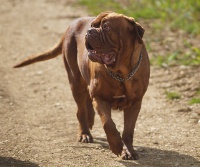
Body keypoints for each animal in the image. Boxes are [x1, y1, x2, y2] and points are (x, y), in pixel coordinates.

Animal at [14, 11, 150, 160]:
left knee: (87, 101)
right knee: (81, 110)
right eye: (93, 25)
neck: (121, 73)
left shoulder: (135, 103)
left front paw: (128, 150)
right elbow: (108, 123)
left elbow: (128, 131)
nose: (89, 31)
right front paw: (117, 146)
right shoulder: (100, 98)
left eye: (106, 27)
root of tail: (70, 26)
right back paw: (85, 133)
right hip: (75, 81)